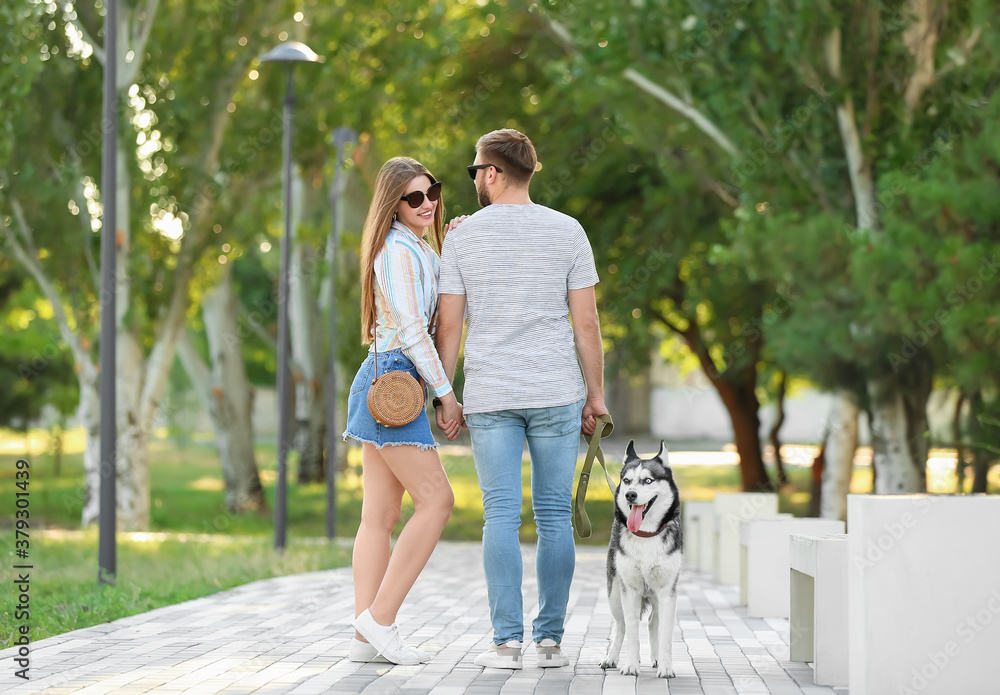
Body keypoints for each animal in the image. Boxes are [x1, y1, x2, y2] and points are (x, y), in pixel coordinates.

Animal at [600, 440, 680, 680]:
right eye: (627, 480)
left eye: (648, 480)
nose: (630, 495)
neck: (646, 535)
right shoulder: (631, 591)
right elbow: (632, 631)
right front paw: (631, 665)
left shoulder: (667, 593)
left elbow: (665, 634)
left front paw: (665, 666)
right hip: (614, 595)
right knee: (621, 626)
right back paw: (612, 658)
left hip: (656, 597)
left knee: (653, 623)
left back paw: (656, 658)